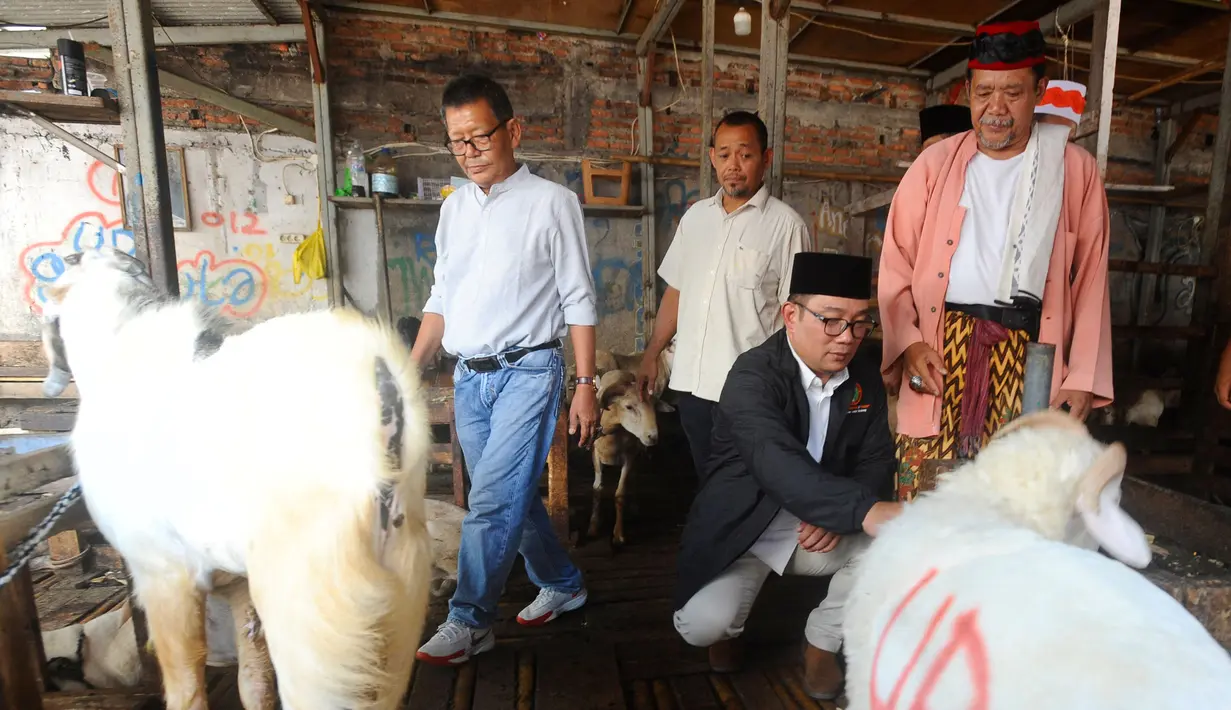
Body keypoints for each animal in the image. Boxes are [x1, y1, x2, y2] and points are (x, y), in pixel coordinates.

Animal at [40, 247, 435, 708]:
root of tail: (378, 376)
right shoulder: (237, 586)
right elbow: (253, 681)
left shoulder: (161, 572)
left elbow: (186, 687)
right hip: (400, 593)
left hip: (312, 614)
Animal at [588, 369, 659, 546]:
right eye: (629, 406)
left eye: (654, 406)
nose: (653, 437)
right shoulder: (595, 454)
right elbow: (597, 488)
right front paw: (593, 526)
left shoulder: (629, 457)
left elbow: (620, 493)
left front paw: (618, 534)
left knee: (634, 477)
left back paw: (634, 507)